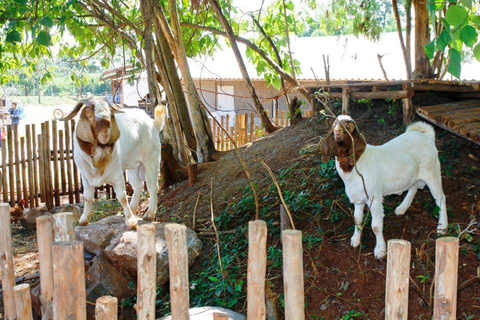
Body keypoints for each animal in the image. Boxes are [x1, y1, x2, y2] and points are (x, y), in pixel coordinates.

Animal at [62, 99, 166, 229]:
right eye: (90, 116)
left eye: (109, 115)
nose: (105, 134)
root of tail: (153, 123)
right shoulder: (85, 176)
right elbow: (87, 197)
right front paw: (84, 220)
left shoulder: (117, 174)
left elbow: (122, 197)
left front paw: (131, 221)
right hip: (133, 166)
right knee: (138, 185)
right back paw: (133, 209)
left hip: (151, 160)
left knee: (152, 186)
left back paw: (150, 213)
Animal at [320, 116, 448, 258]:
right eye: (334, 124)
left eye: (350, 125)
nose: (337, 131)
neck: (355, 166)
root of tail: (428, 136)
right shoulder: (358, 199)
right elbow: (357, 220)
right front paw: (355, 240)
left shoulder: (374, 198)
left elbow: (375, 226)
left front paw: (380, 250)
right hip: (415, 174)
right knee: (414, 187)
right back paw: (402, 208)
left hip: (432, 171)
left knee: (440, 197)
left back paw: (442, 227)